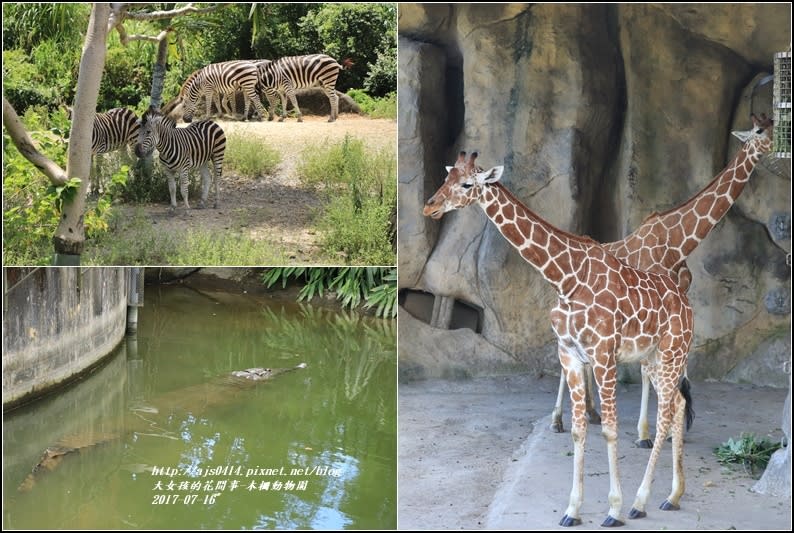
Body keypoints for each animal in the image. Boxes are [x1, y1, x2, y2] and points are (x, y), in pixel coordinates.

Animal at [424, 152, 688, 524]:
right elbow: (579, 430)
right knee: (677, 405)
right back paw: (672, 496)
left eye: (465, 184)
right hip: (652, 358)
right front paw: (572, 510)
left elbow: (609, 429)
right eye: (446, 178)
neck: (566, 279)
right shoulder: (571, 354)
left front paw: (614, 509)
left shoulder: (603, 354)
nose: (429, 207)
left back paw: (640, 502)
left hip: (671, 353)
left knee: (667, 411)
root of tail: (687, 303)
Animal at [548, 113, 772, 444]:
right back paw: (558, 420)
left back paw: (591, 411)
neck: (676, 242)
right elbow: (645, 370)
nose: (774, 144)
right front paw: (645, 433)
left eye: (773, 127)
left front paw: (667, 429)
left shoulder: (676, 300)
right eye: (758, 131)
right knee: (567, 365)